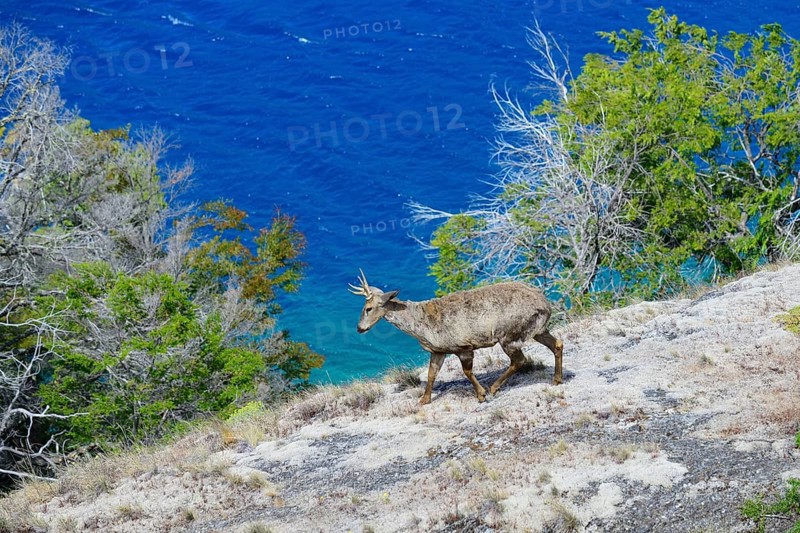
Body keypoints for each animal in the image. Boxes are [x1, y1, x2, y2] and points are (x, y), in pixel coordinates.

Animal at [349, 271, 563, 404]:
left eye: (368, 308)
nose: (359, 328)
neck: (421, 325)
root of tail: (546, 304)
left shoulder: (463, 345)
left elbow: (466, 372)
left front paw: (481, 395)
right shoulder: (438, 350)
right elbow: (431, 374)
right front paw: (424, 400)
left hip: (510, 333)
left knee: (520, 359)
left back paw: (494, 387)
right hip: (537, 329)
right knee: (557, 343)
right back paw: (557, 379)